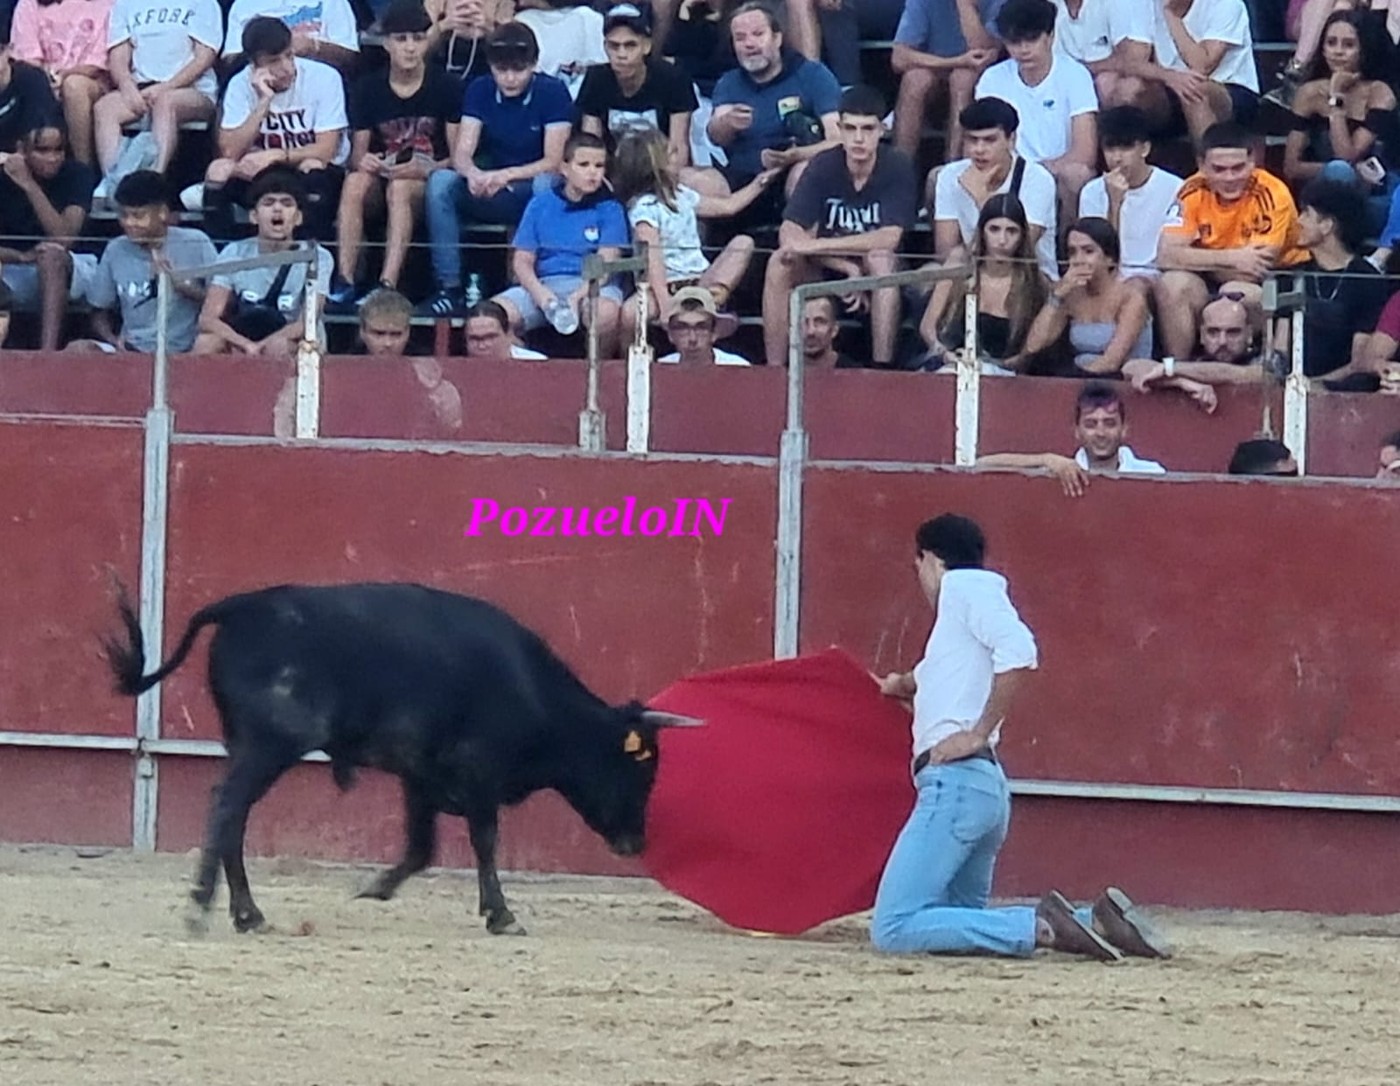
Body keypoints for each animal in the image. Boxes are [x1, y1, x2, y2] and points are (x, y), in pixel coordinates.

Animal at [103, 582, 705, 934]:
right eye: (642, 765)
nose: (636, 843)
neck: (531, 689)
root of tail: (239, 607)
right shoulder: (478, 773)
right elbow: (484, 840)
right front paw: (502, 914)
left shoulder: (420, 776)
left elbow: (421, 846)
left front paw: (377, 887)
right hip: (269, 745)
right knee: (228, 807)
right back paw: (202, 909)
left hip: (246, 746)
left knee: (234, 816)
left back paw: (248, 916)